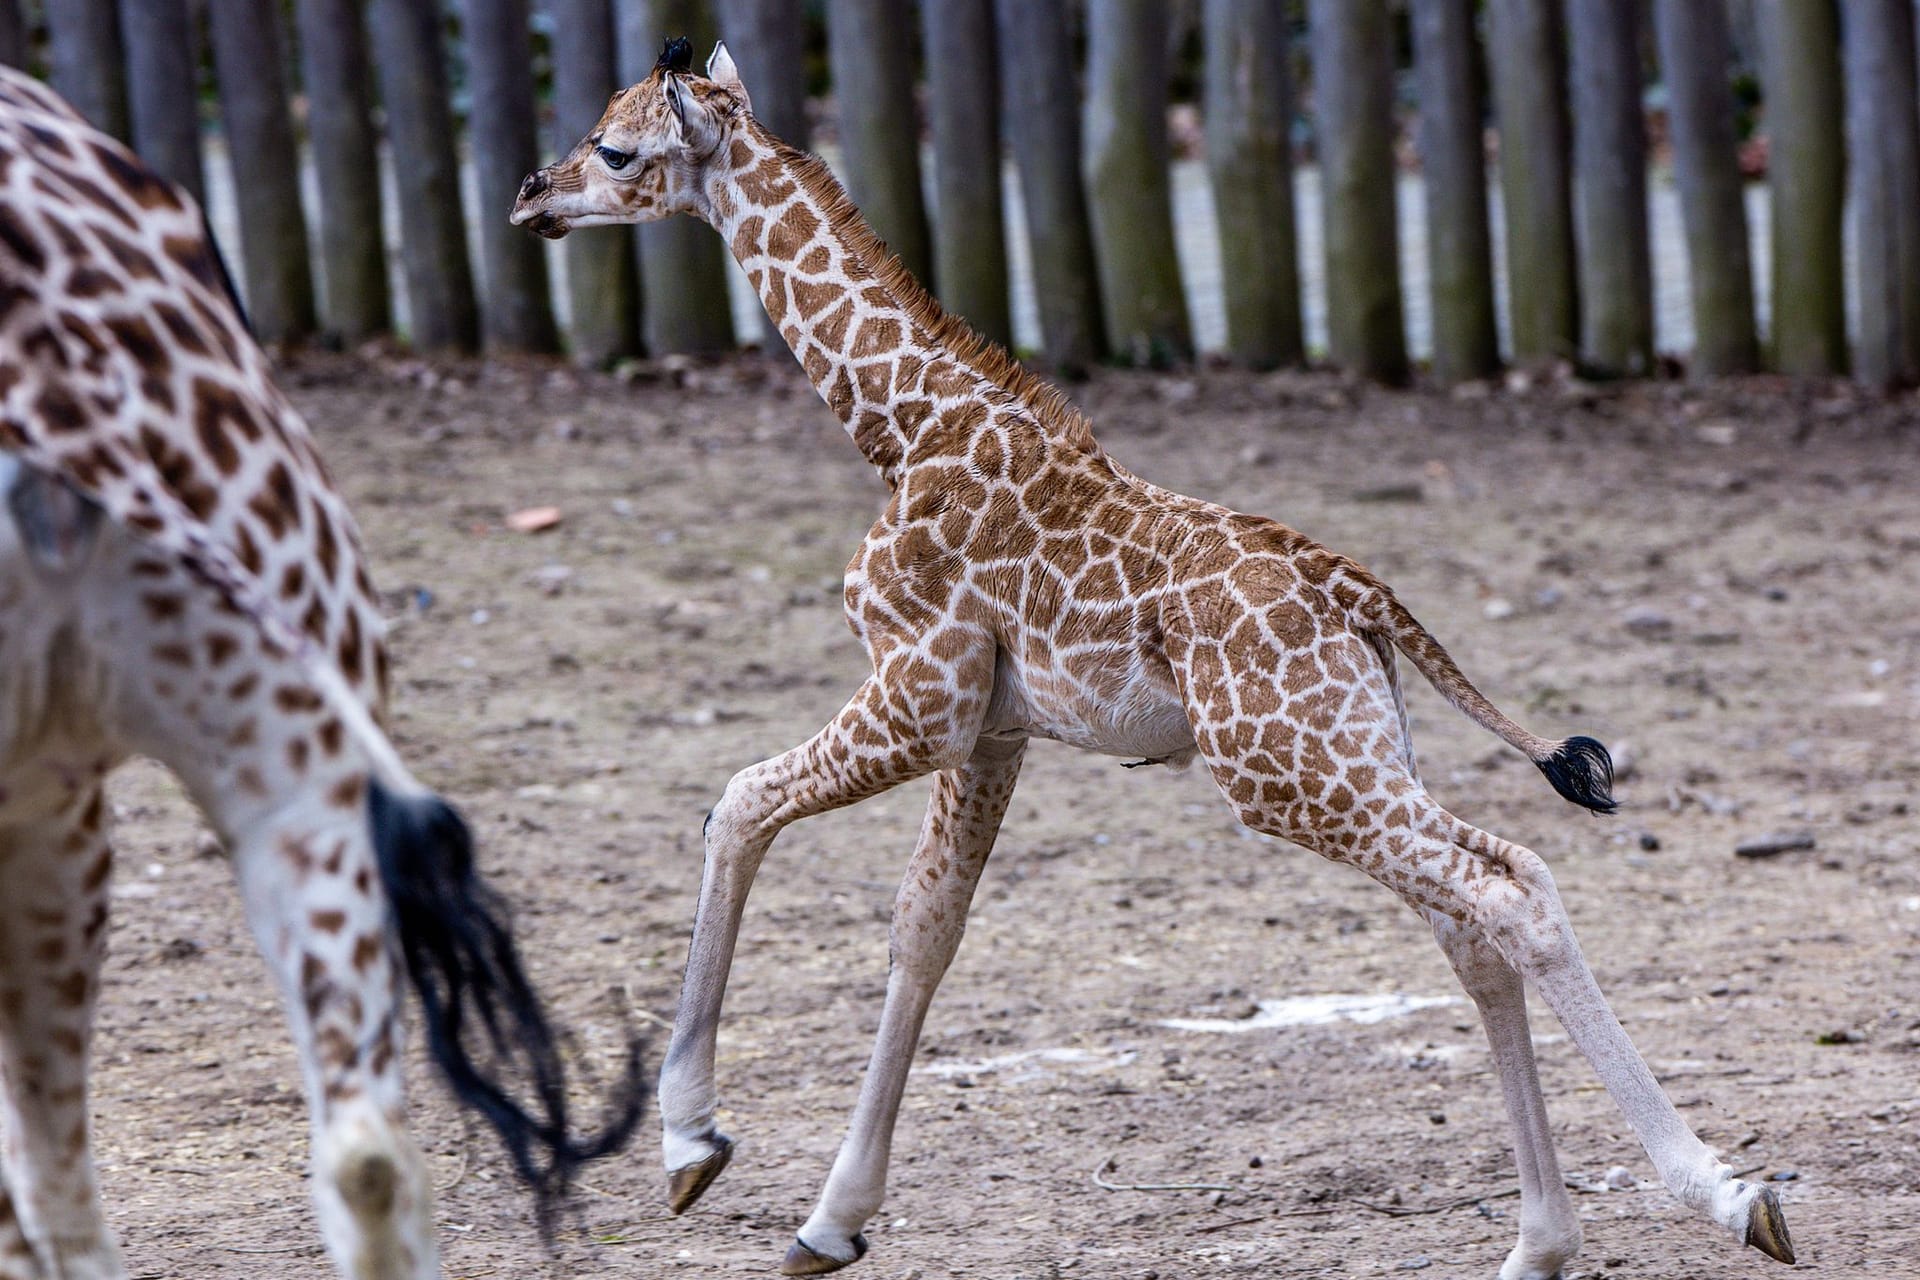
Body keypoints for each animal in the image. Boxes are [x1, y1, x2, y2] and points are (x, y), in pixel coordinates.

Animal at [514, 40, 1797, 1280]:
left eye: (615, 147)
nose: (533, 195)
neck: (901, 426)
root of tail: (1361, 594)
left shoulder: (922, 689)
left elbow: (737, 804)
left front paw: (694, 1143)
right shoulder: (995, 727)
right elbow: (927, 927)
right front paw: (829, 1222)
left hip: (1285, 770)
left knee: (1503, 891)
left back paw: (1733, 1196)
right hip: (1351, 750)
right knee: (1477, 911)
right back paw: (1541, 1243)